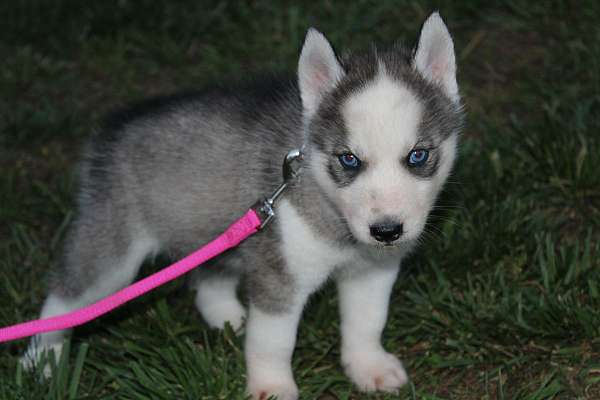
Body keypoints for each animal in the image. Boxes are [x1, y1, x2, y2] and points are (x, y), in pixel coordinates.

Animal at [22, 11, 464, 396]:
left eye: (418, 156)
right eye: (349, 159)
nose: (386, 231)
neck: (333, 216)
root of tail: (111, 130)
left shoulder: (372, 271)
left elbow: (368, 321)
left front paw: (368, 366)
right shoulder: (278, 273)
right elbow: (273, 340)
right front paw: (272, 387)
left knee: (208, 282)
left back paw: (230, 319)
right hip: (110, 253)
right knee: (65, 299)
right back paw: (40, 362)